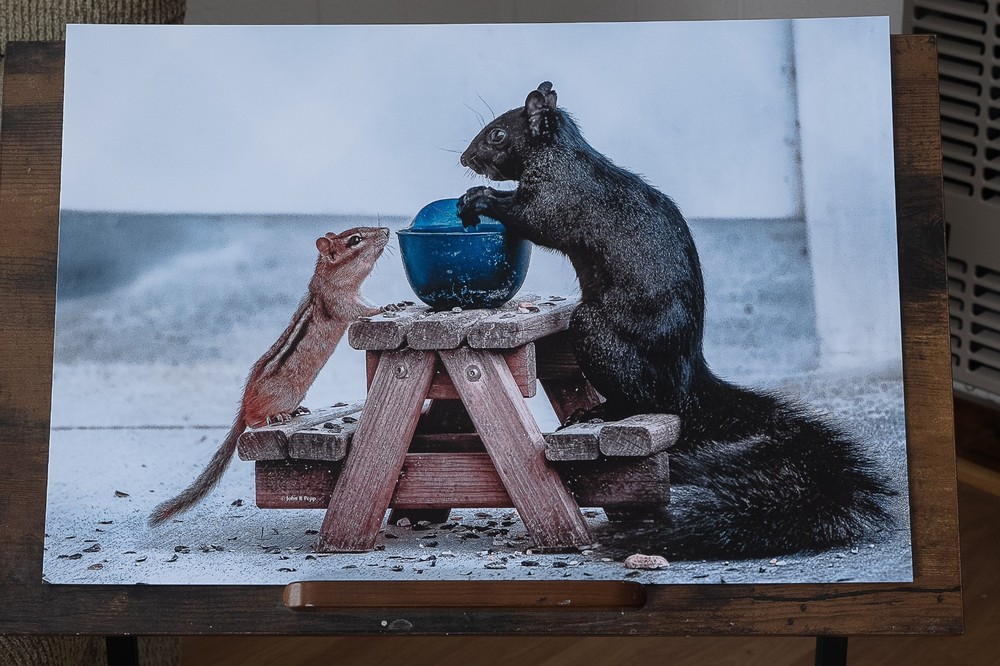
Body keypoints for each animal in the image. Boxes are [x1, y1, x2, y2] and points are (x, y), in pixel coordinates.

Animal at [148, 227, 390, 526]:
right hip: (270, 401)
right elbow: (359, 310)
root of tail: (243, 405)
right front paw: (384, 309)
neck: (328, 278)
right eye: (355, 240)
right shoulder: (339, 301)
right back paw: (274, 417)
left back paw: (295, 411)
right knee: (253, 421)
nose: (386, 231)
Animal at [457, 82, 892, 560]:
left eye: (497, 135)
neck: (560, 156)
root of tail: (689, 382)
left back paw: (602, 409)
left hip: (597, 335)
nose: (465, 158)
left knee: (648, 399)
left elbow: (533, 220)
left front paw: (479, 198)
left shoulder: (559, 200)